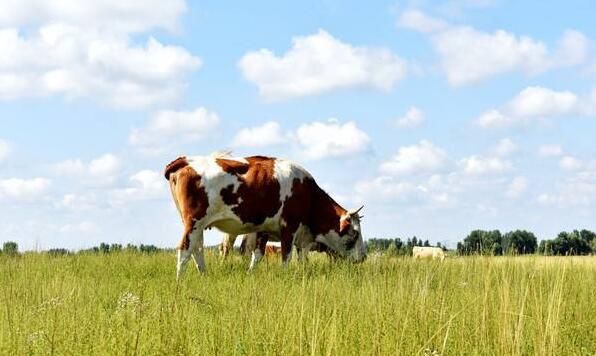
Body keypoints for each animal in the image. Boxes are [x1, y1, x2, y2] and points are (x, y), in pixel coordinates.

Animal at [165, 153, 366, 278]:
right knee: (185, 249)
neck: (308, 194)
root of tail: (186, 161)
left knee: (197, 250)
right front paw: (285, 276)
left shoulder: (264, 230)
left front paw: (250, 275)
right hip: (194, 222)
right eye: (355, 233)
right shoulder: (289, 227)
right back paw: (179, 282)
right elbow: (286, 256)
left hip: (197, 225)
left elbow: (258, 255)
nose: (363, 257)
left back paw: (204, 275)